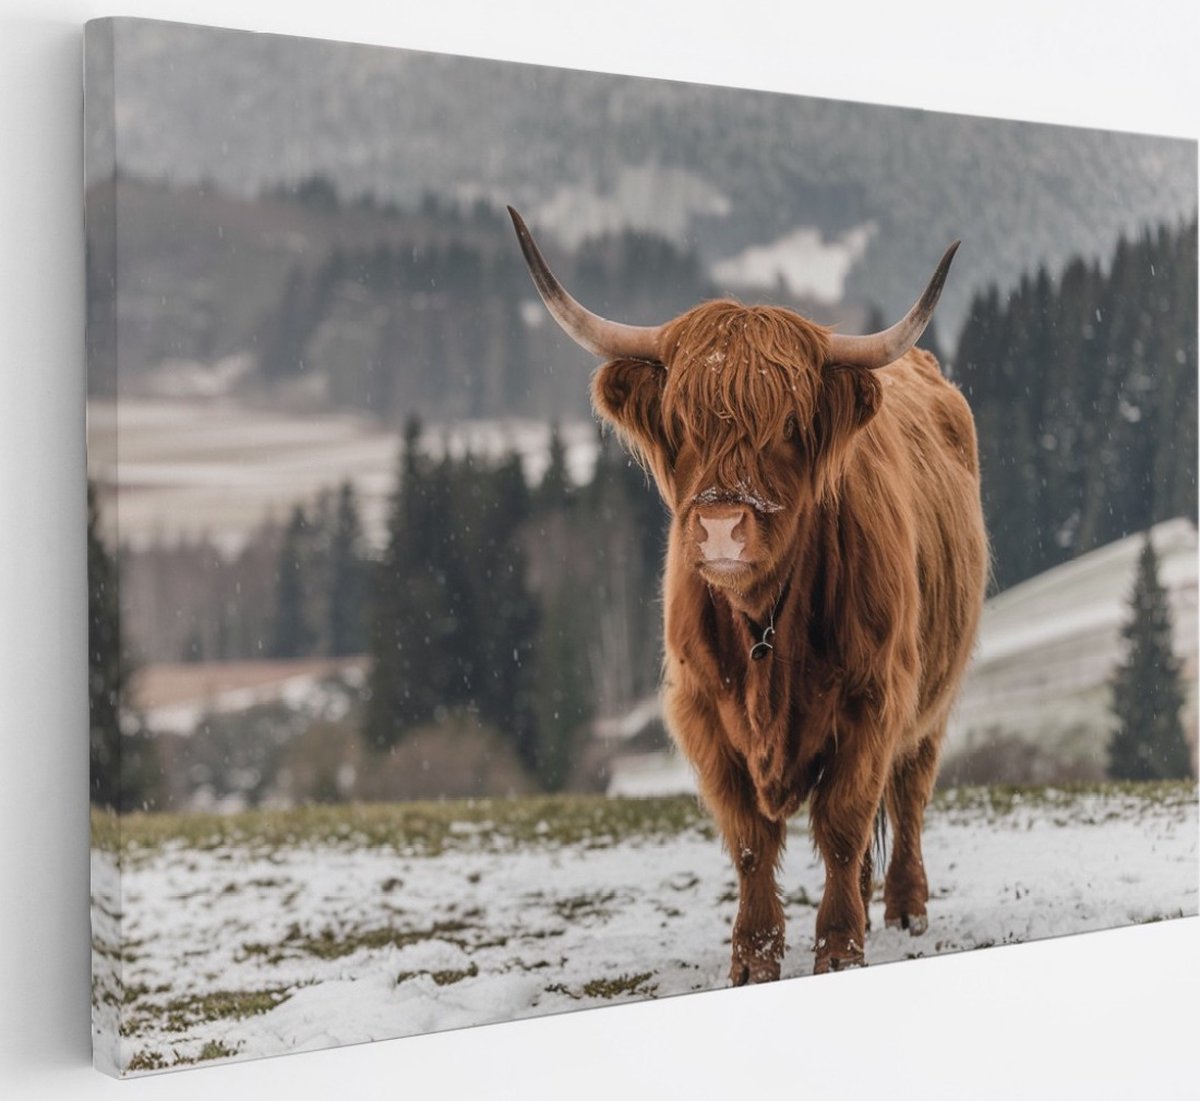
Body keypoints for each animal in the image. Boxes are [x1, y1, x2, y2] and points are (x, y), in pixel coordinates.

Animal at [509, 207, 988, 981]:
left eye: (789, 426)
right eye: (681, 423)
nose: (721, 527)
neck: (764, 621)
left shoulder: (874, 698)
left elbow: (844, 823)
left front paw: (838, 949)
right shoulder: (702, 708)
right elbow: (750, 842)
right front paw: (755, 958)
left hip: (933, 697)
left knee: (909, 791)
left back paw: (905, 907)